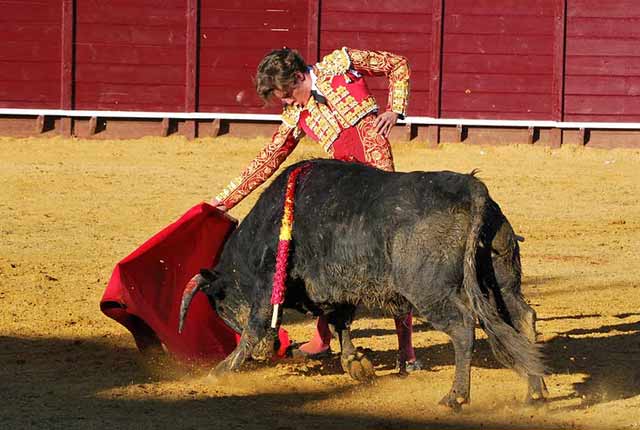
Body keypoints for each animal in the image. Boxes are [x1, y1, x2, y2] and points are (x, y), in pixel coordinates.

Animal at [181, 159, 552, 410]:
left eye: (221, 306)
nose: (269, 351)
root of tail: (471, 189)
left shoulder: (268, 285)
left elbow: (255, 328)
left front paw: (219, 371)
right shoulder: (337, 290)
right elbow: (340, 322)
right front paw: (355, 364)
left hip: (429, 289)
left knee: (463, 328)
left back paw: (456, 397)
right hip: (500, 279)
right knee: (521, 316)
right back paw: (535, 392)